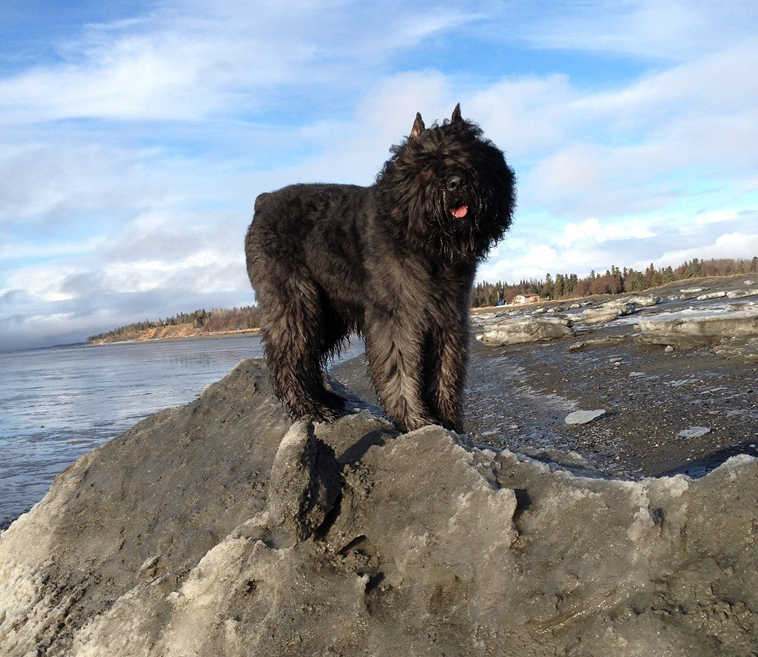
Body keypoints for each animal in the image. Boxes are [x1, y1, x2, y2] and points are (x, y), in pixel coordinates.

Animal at [248, 105, 516, 434]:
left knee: (308, 358)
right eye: (426, 161)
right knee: (289, 358)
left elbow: (446, 369)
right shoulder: (397, 316)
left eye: (471, 155)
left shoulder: (449, 316)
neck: (427, 243)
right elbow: (399, 366)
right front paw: (415, 419)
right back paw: (310, 408)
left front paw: (448, 420)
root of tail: (263, 201)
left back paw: (325, 399)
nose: (456, 182)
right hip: (295, 304)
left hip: (327, 314)